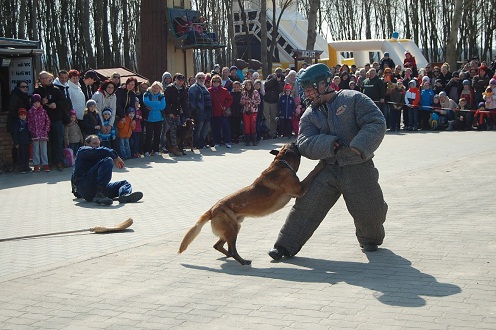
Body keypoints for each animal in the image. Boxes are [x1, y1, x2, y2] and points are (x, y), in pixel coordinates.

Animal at [178, 142, 326, 266]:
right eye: (294, 145)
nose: (296, 141)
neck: (280, 163)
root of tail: (212, 209)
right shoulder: (300, 189)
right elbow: (311, 173)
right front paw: (320, 164)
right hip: (233, 228)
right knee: (232, 249)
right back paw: (243, 261)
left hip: (233, 228)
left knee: (218, 245)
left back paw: (229, 256)